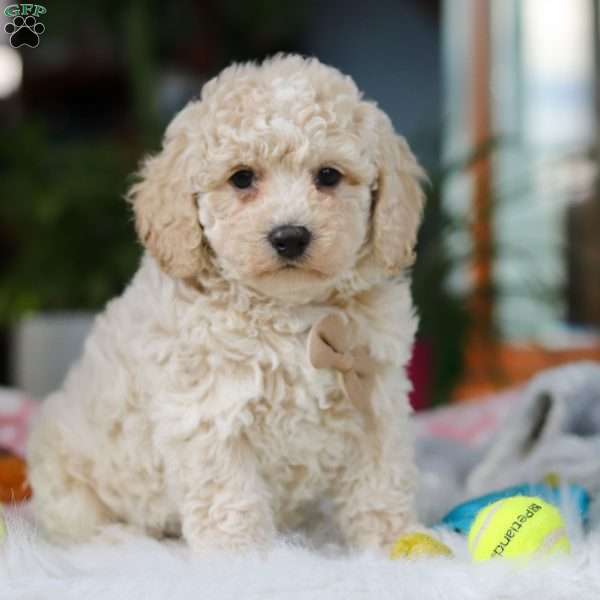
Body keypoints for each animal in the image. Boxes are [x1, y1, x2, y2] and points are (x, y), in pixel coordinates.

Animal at [27, 55, 426, 552]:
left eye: (329, 175)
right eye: (242, 178)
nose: (290, 236)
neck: (290, 313)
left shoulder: (374, 398)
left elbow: (380, 482)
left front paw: (397, 543)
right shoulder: (210, 414)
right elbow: (230, 501)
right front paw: (244, 560)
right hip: (69, 480)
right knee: (82, 527)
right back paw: (124, 539)